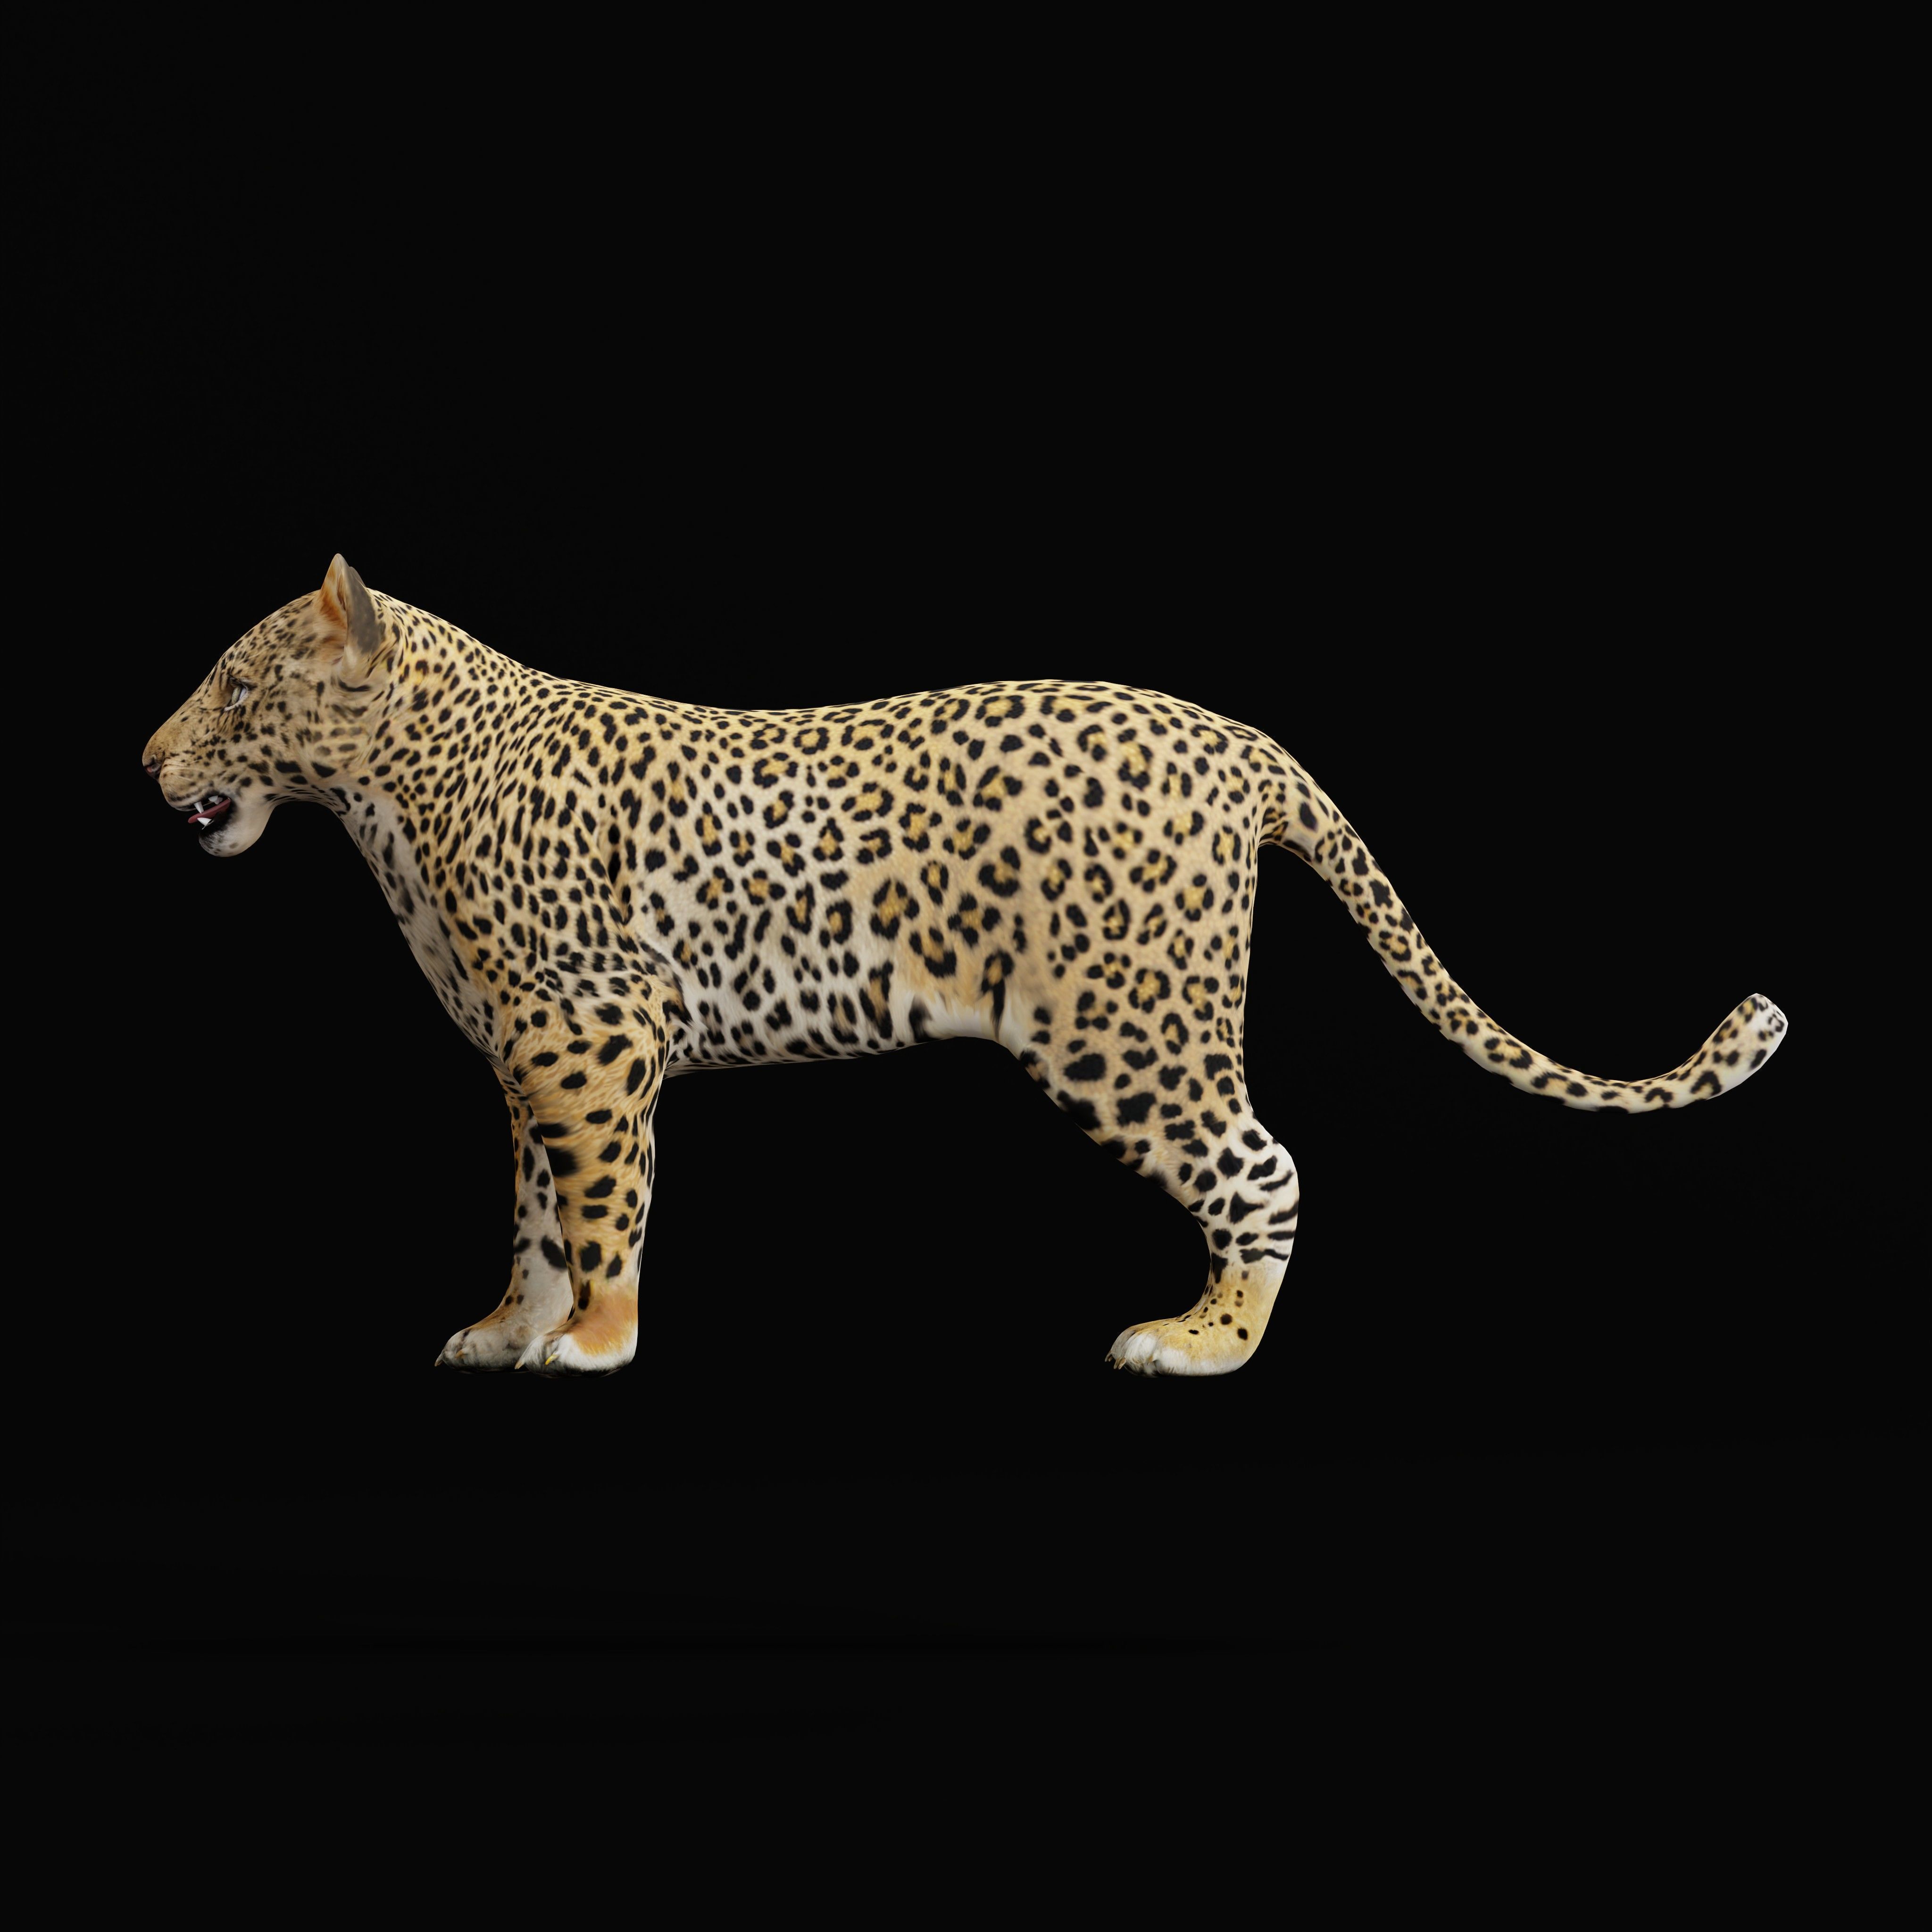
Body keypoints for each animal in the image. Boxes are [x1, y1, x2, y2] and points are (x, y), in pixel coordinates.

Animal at [143, 556, 1788, 1378]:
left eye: (234, 683)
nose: (148, 762)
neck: (388, 798)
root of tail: (1243, 741)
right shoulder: (530, 1055)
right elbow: (536, 1212)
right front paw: (509, 1331)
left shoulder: (593, 1040)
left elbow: (605, 1210)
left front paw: (596, 1343)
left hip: (1125, 1033)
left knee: (1265, 1168)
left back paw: (1197, 1342)